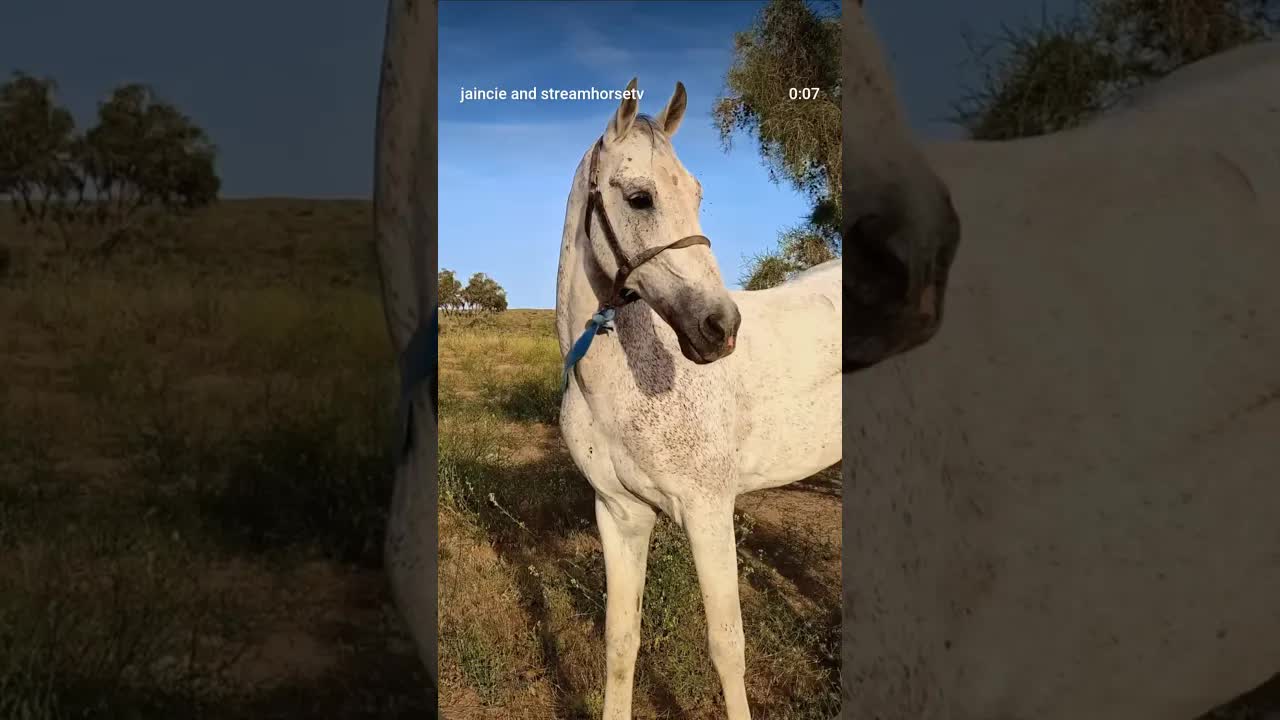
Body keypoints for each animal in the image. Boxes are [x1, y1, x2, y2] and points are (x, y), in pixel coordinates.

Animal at [555, 79, 842, 719]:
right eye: (640, 198)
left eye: (698, 194)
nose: (719, 328)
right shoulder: (620, 514)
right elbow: (620, 640)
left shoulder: (709, 512)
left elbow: (727, 645)